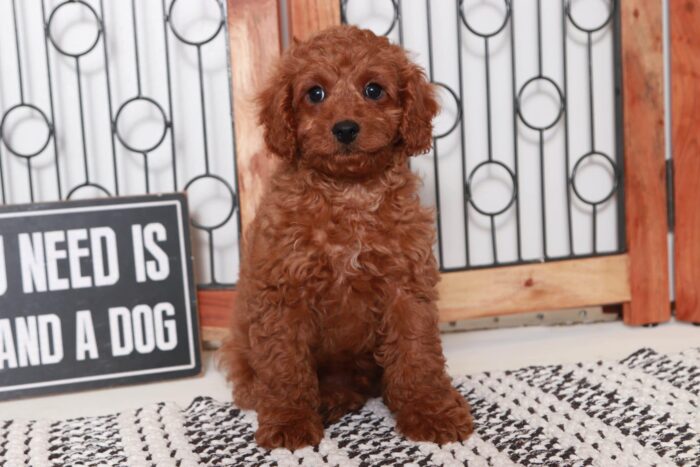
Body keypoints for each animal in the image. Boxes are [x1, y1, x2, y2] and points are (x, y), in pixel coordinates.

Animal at [223, 24, 476, 450]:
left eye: (373, 90)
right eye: (315, 93)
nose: (344, 128)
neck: (349, 193)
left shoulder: (406, 287)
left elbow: (416, 352)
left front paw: (430, 410)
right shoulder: (283, 292)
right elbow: (284, 363)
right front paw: (289, 420)